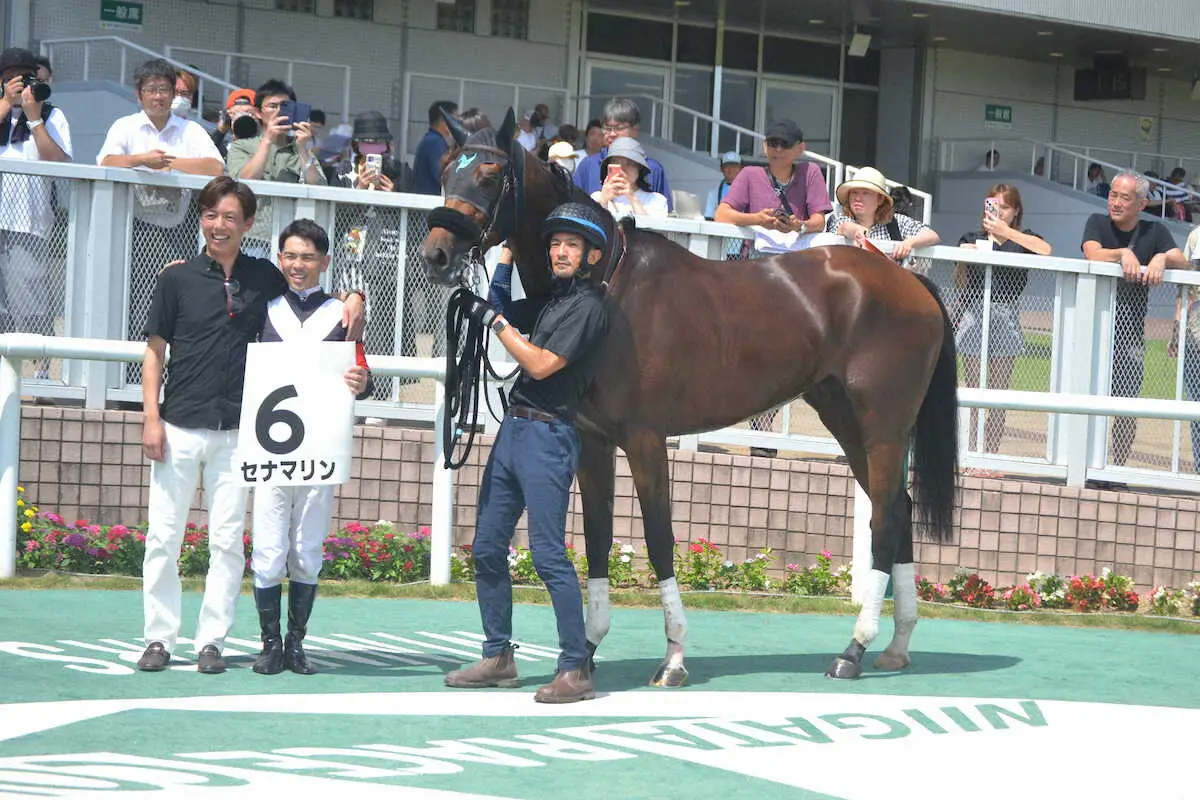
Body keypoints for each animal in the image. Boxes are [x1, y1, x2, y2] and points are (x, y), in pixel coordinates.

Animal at [417, 110, 960, 690]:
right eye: (446, 171)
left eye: (491, 175)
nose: (436, 255)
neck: (609, 284)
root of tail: (909, 282)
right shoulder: (592, 441)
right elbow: (597, 538)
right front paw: (586, 650)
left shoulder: (644, 439)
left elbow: (658, 538)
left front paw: (673, 657)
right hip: (845, 419)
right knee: (898, 509)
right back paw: (896, 645)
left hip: (882, 427)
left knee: (884, 519)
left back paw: (854, 649)